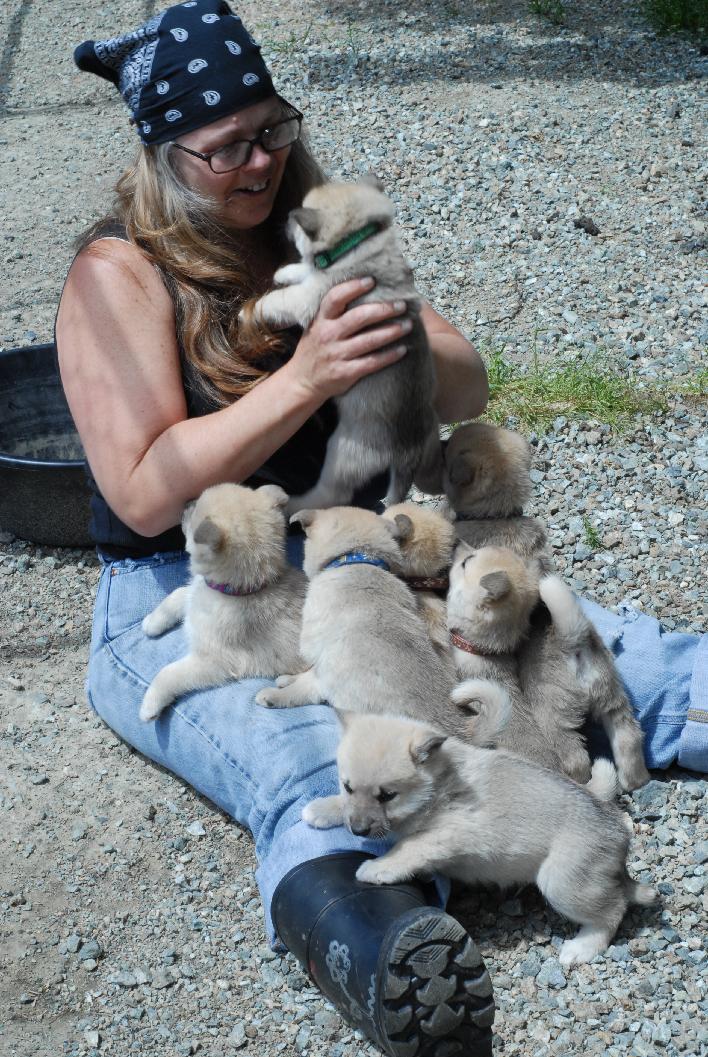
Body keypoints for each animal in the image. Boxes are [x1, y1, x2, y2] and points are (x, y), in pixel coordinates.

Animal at [139, 484, 308, 722]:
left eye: (194, 511)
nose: (185, 503)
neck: (238, 592)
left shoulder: (214, 661)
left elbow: (169, 672)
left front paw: (150, 703)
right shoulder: (194, 595)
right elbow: (177, 594)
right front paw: (153, 622)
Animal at [245, 176, 443, 511]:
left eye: (298, 222)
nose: (286, 218)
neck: (358, 243)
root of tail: (408, 451)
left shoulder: (306, 298)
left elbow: (280, 299)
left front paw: (252, 310)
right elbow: (305, 269)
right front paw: (286, 271)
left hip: (341, 453)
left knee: (331, 495)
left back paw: (295, 504)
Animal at [302, 710, 659, 968]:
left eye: (387, 796)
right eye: (348, 786)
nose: (358, 831)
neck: (438, 783)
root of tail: (617, 836)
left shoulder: (450, 832)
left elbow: (408, 846)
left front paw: (378, 868)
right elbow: (346, 808)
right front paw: (321, 809)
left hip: (561, 882)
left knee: (612, 911)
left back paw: (582, 948)